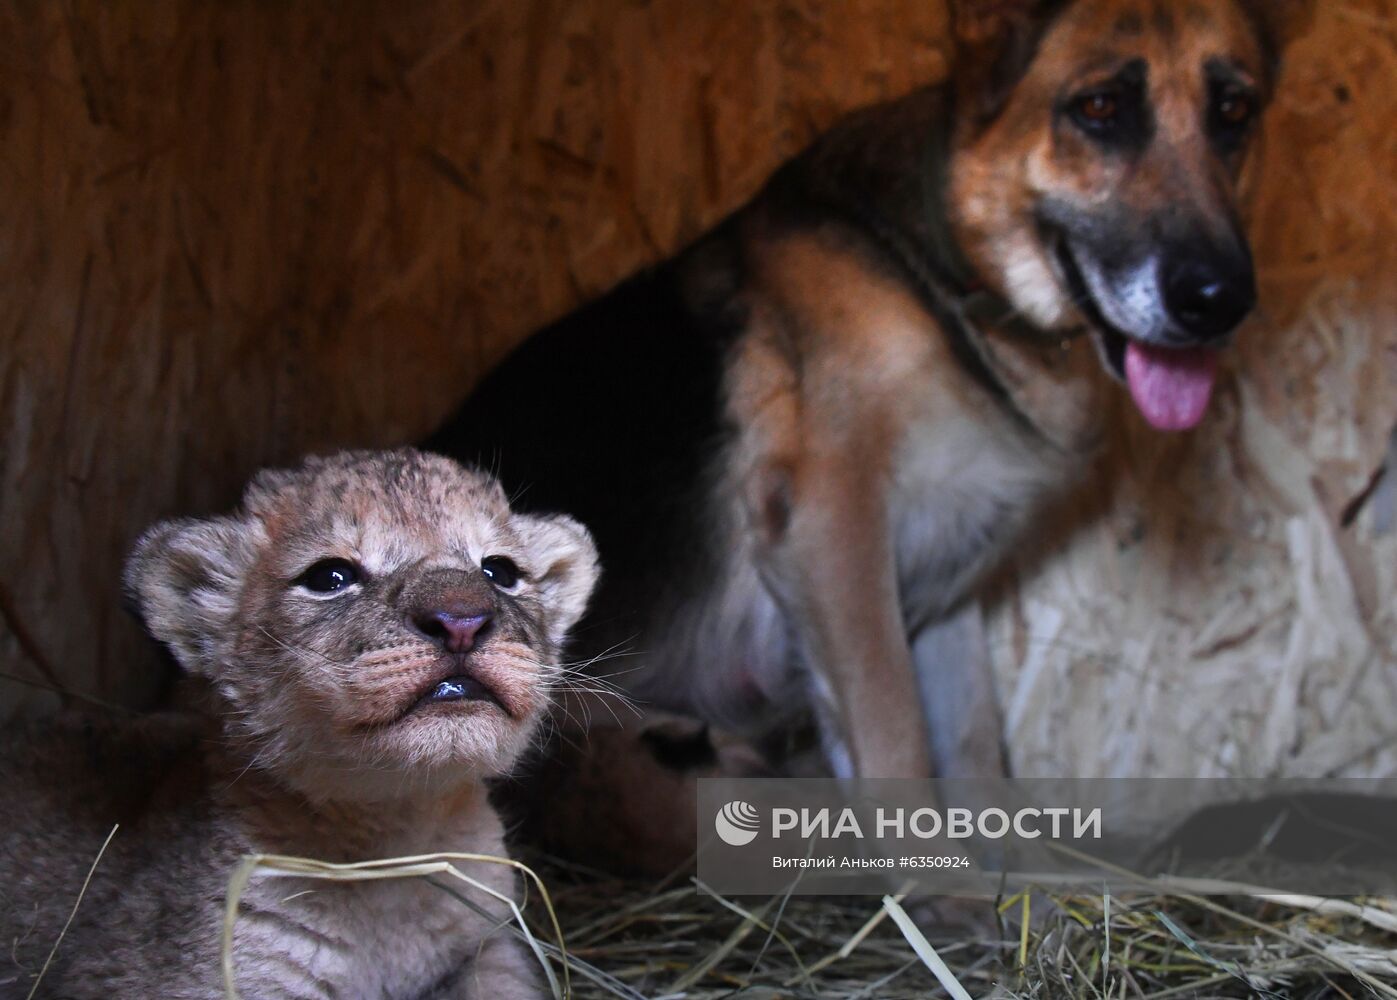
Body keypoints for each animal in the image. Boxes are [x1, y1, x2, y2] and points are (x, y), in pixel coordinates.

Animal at [424, 0, 1307, 782]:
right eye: (1099, 109)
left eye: (1233, 111)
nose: (1220, 301)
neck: (945, 288)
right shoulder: (833, 533)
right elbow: (895, 742)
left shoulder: (943, 591)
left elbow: (974, 751)